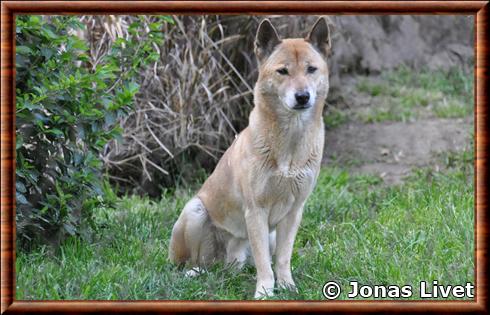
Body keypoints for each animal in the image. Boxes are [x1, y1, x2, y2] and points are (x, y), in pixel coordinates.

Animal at [169, 16, 334, 298]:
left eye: (311, 69)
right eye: (283, 71)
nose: (302, 96)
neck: (289, 144)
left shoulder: (294, 212)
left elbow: (282, 258)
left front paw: (287, 286)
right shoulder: (256, 210)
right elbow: (263, 262)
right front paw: (265, 292)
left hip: (265, 237)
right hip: (195, 211)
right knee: (195, 262)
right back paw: (194, 273)